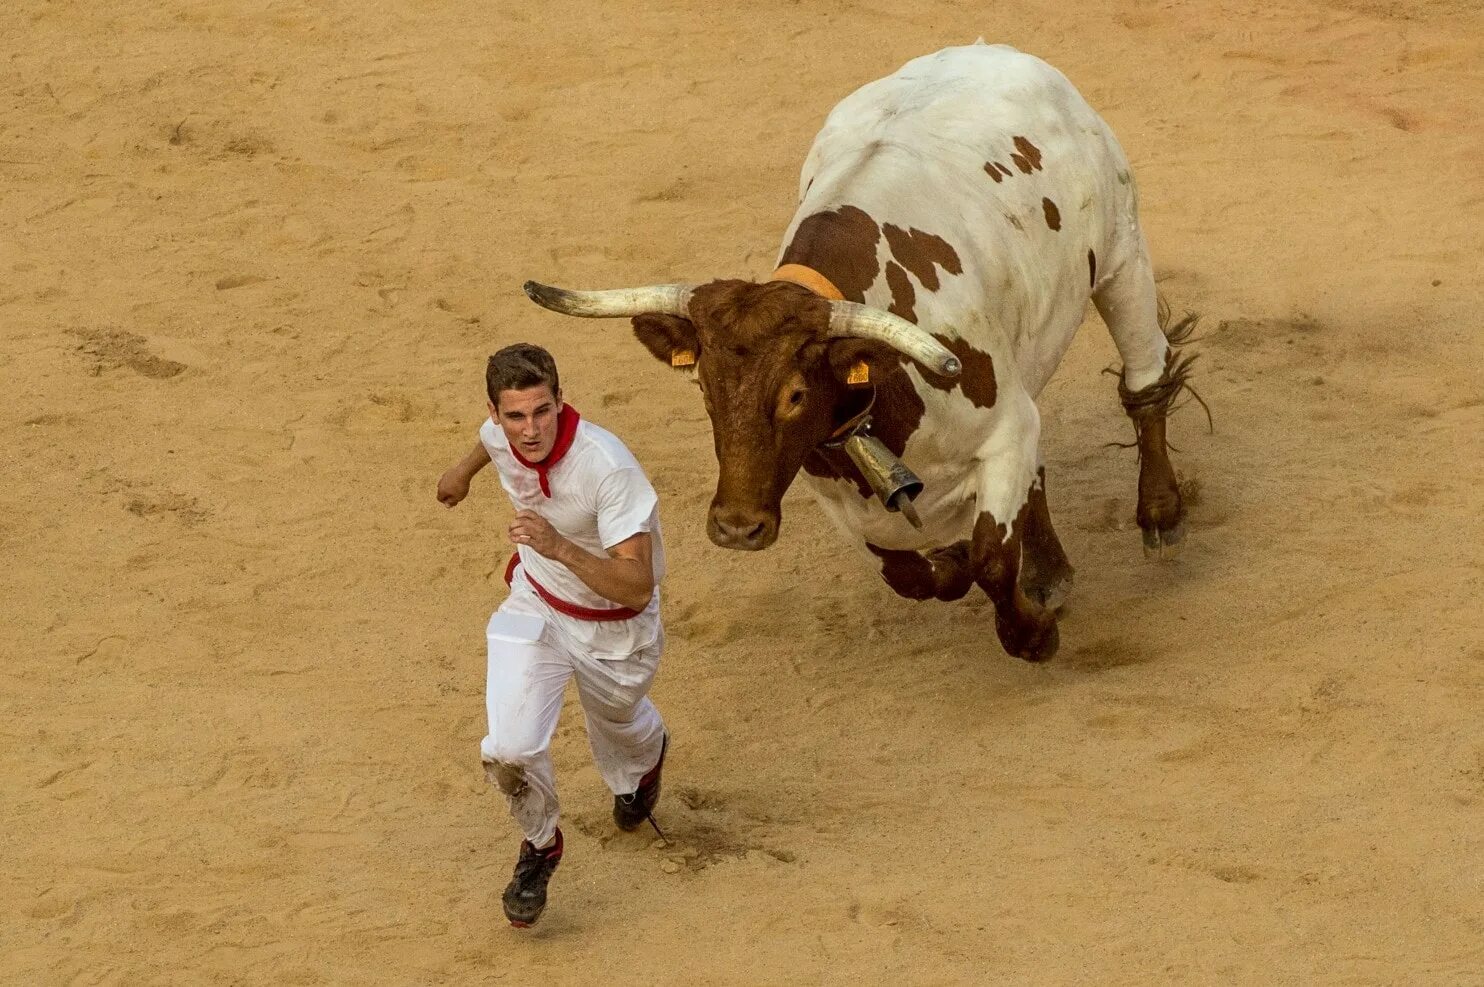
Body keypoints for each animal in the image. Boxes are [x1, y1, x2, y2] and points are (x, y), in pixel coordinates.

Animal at [522, 42, 1193, 658]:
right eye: (705, 391)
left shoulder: (1005, 432)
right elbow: (911, 572)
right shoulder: (849, 502)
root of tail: (992, 50)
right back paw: (1049, 572)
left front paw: (1032, 633)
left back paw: (1160, 512)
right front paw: (968, 570)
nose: (737, 528)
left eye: (795, 394)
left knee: (1144, 382)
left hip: (1122, 255)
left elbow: (991, 559)